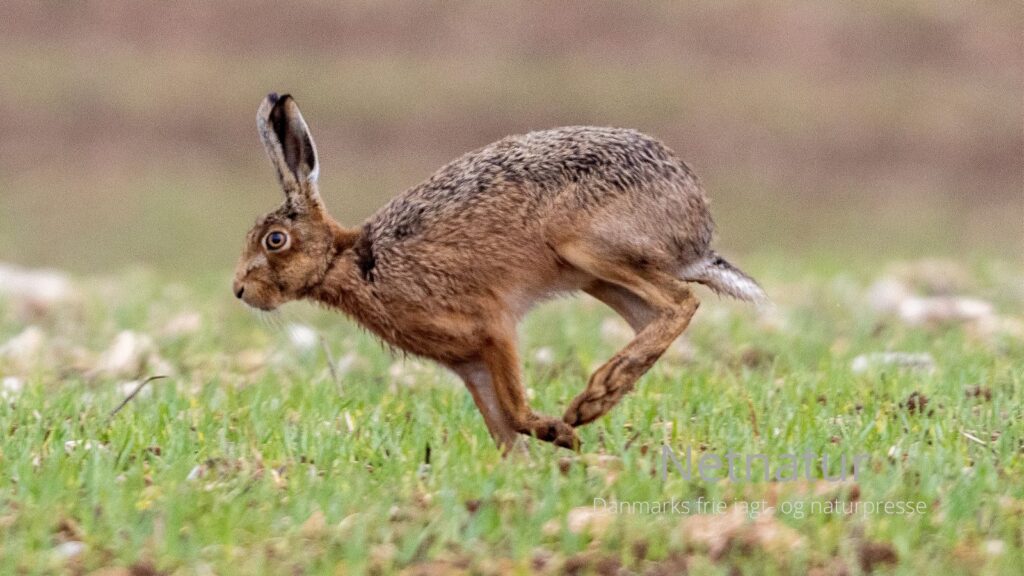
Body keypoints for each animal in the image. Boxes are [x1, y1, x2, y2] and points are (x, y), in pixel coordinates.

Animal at [233, 93, 765, 453]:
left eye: (275, 240)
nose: (239, 290)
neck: (352, 260)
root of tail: (698, 226)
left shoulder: (491, 328)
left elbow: (515, 409)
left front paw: (561, 434)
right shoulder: (469, 363)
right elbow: (503, 428)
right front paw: (531, 462)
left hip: (587, 244)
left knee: (681, 302)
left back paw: (590, 401)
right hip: (597, 275)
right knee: (658, 314)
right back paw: (605, 393)